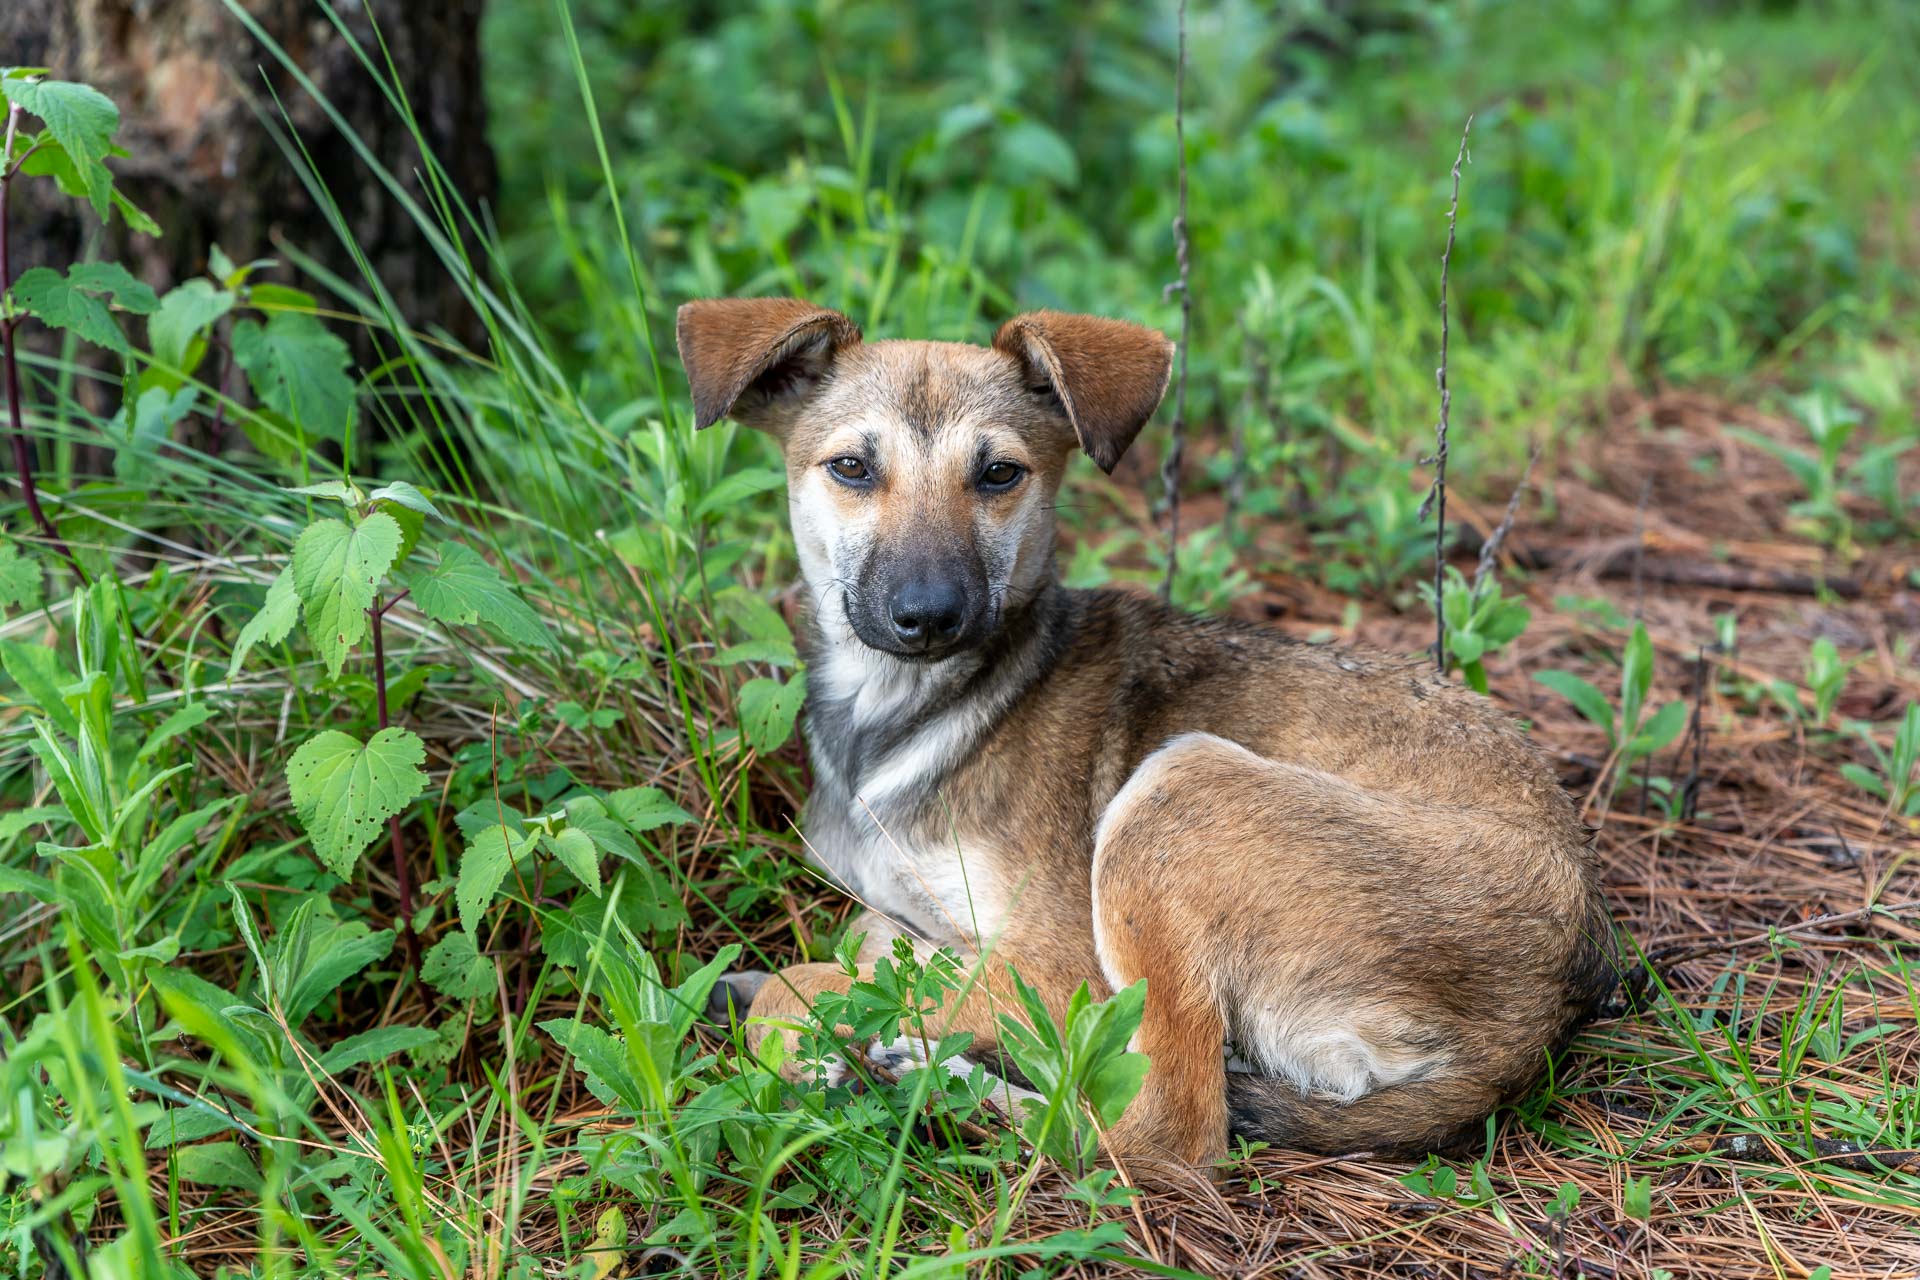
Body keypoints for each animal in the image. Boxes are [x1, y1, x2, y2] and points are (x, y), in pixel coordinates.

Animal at [675, 295, 1620, 1166]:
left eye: (999, 475)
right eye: (851, 468)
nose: (929, 615)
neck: (904, 714)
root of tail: (1553, 1000)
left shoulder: (1056, 967)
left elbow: (803, 986)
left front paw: (802, 1025)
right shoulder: (905, 912)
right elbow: (863, 949)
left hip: (1178, 793)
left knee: (1169, 1127)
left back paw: (938, 1086)